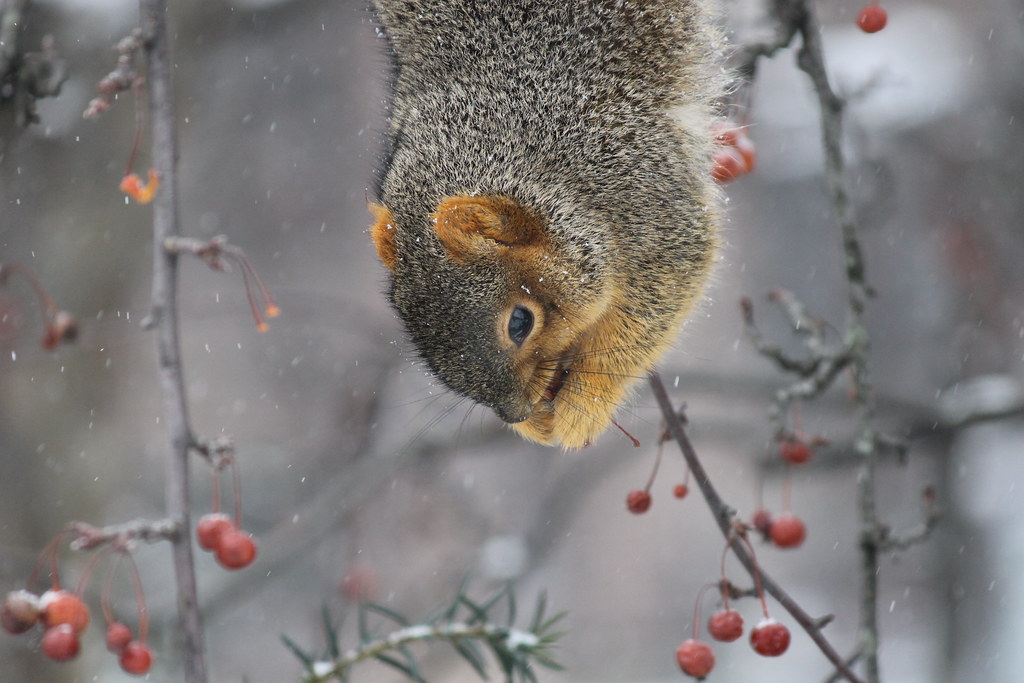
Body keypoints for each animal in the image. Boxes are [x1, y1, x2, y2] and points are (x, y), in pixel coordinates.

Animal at [368, 0, 724, 450]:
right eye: (402, 311)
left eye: (520, 322)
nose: (515, 412)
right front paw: (533, 426)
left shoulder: (651, 199)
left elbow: (652, 307)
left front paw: (584, 405)